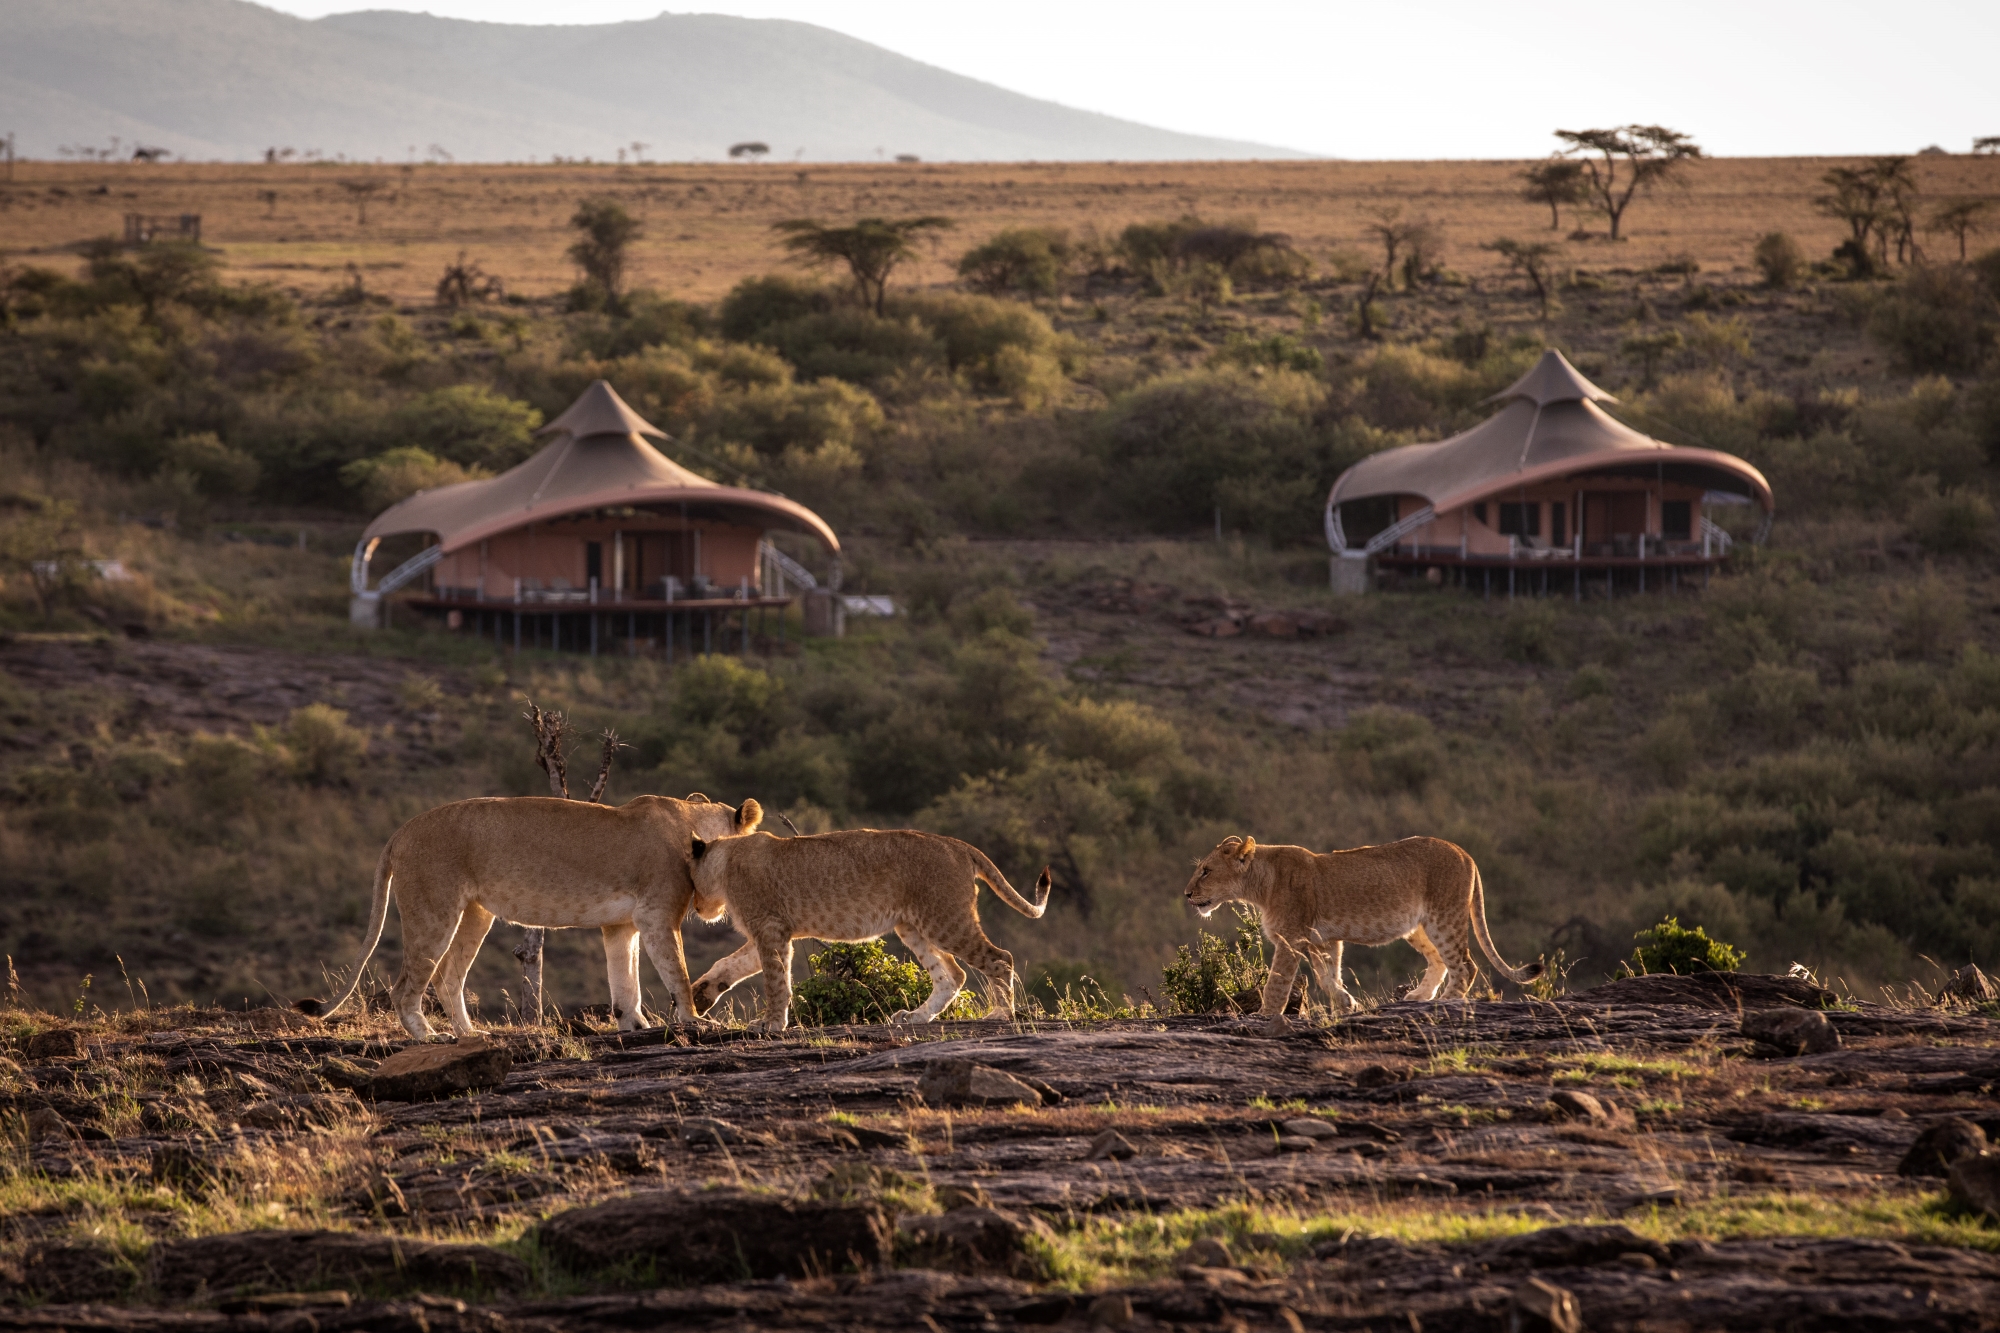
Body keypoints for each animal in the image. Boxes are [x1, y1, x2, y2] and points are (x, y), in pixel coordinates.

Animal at [298, 788, 764, 1040]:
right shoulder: (657, 915)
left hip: (475, 914)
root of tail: (401, 830)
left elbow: (624, 980)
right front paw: (695, 1022)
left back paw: (470, 1034)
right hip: (434, 910)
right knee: (405, 987)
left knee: (449, 978)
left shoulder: (621, 925)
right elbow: (677, 974)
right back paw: (429, 1037)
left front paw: (634, 1024)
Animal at [688, 824, 1056, 1032]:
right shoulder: (774, 931)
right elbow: (730, 964)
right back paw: (915, 1018)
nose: (696, 909)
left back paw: (1001, 1013)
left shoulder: (770, 928)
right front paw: (700, 995)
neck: (725, 858)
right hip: (913, 926)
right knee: (953, 974)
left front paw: (771, 1024)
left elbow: (775, 980)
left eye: (688, 882)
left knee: (1000, 958)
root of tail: (957, 845)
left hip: (945, 919)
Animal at [1184, 832, 1544, 1016]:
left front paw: (1265, 1015)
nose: (1186, 894)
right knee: (1441, 961)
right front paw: (1347, 1003)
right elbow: (1328, 977)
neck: (1260, 883)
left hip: (1445, 916)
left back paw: (1444, 1001)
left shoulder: (1291, 937)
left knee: (1466, 966)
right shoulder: (1324, 941)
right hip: (1419, 926)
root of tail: (1465, 853)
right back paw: (1418, 997)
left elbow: (1277, 981)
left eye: (1206, 871)